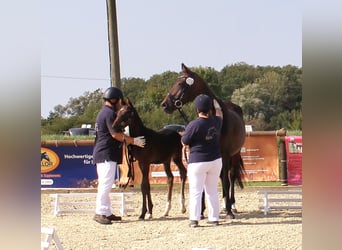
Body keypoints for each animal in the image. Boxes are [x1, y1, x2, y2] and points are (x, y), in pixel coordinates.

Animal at [161, 63, 246, 219]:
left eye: (181, 83)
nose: (165, 104)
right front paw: (201, 211)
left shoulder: (225, 155)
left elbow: (226, 180)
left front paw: (229, 211)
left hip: (235, 155)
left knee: (231, 176)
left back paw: (231, 205)